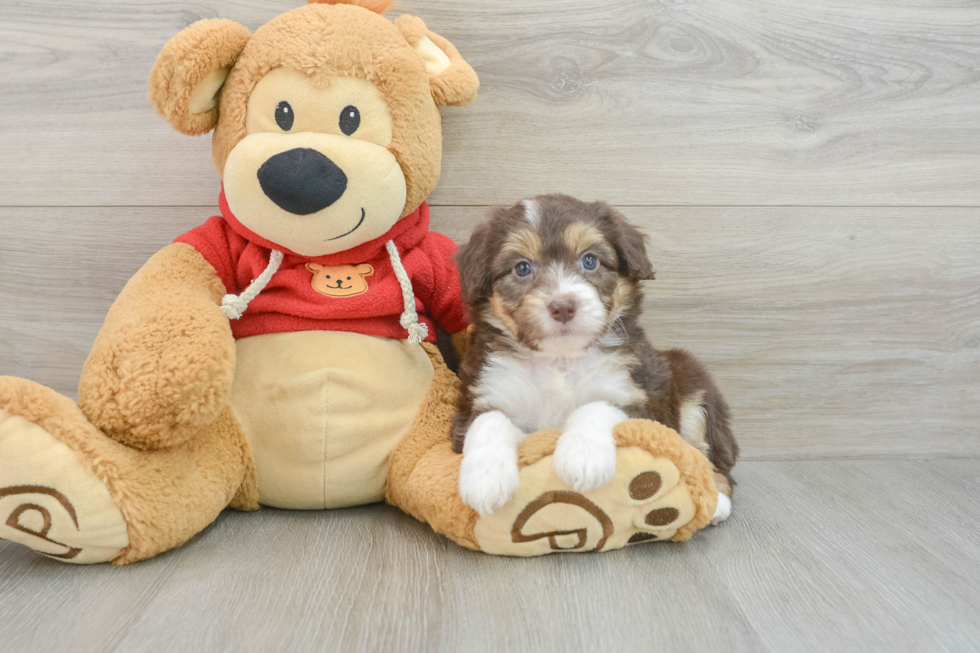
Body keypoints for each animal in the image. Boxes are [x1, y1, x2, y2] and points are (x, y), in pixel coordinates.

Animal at [452, 192, 736, 520]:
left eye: (590, 260)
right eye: (522, 268)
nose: (563, 306)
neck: (559, 360)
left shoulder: (639, 402)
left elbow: (597, 405)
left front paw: (582, 458)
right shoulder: (482, 394)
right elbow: (489, 420)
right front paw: (485, 480)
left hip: (694, 385)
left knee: (710, 457)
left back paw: (716, 501)